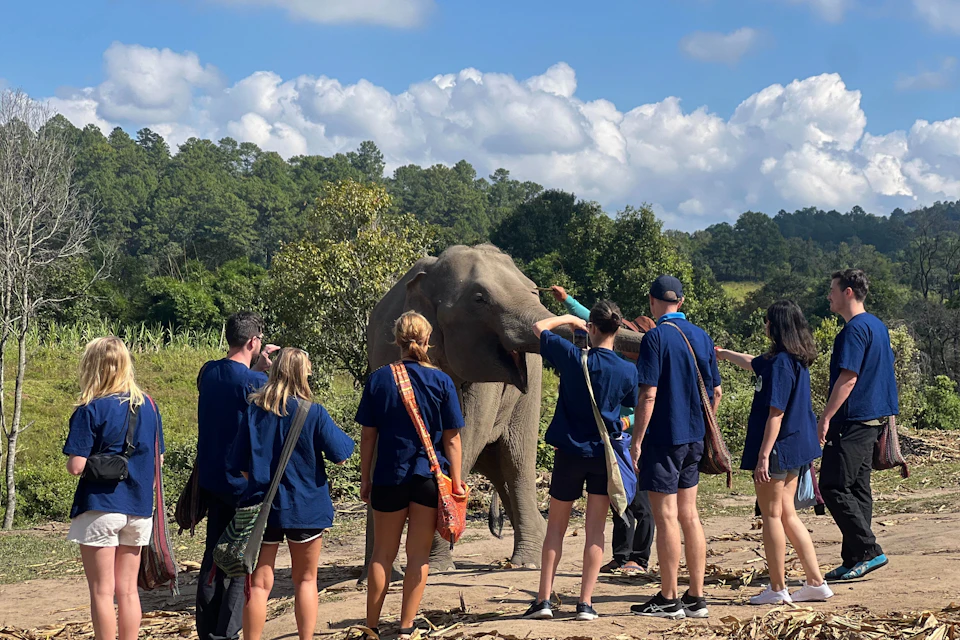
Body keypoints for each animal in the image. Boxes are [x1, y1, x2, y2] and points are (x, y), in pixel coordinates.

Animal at [361, 244, 645, 576]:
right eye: (479, 299)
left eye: (534, 291)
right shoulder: (384, 351)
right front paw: (385, 574)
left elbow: (463, 437)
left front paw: (437, 565)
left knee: (516, 462)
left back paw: (527, 561)